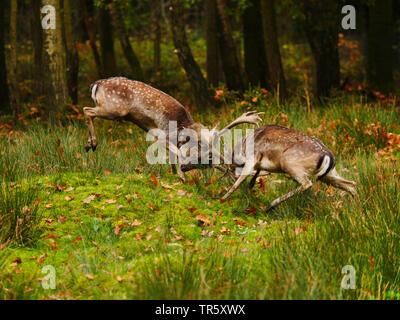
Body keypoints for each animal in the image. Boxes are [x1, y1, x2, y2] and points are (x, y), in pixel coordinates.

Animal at [220, 125, 358, 212]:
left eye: (229, 169)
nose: (232, 175)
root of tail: (329, 155)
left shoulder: (252, 159)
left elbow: (238, 183)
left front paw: (222, 199)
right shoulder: (258, 165)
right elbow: (252, 181)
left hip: (290, 163)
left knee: (307, 183)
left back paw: (271, 205)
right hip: (329, 174)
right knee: (351, 184)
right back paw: (358, 208)